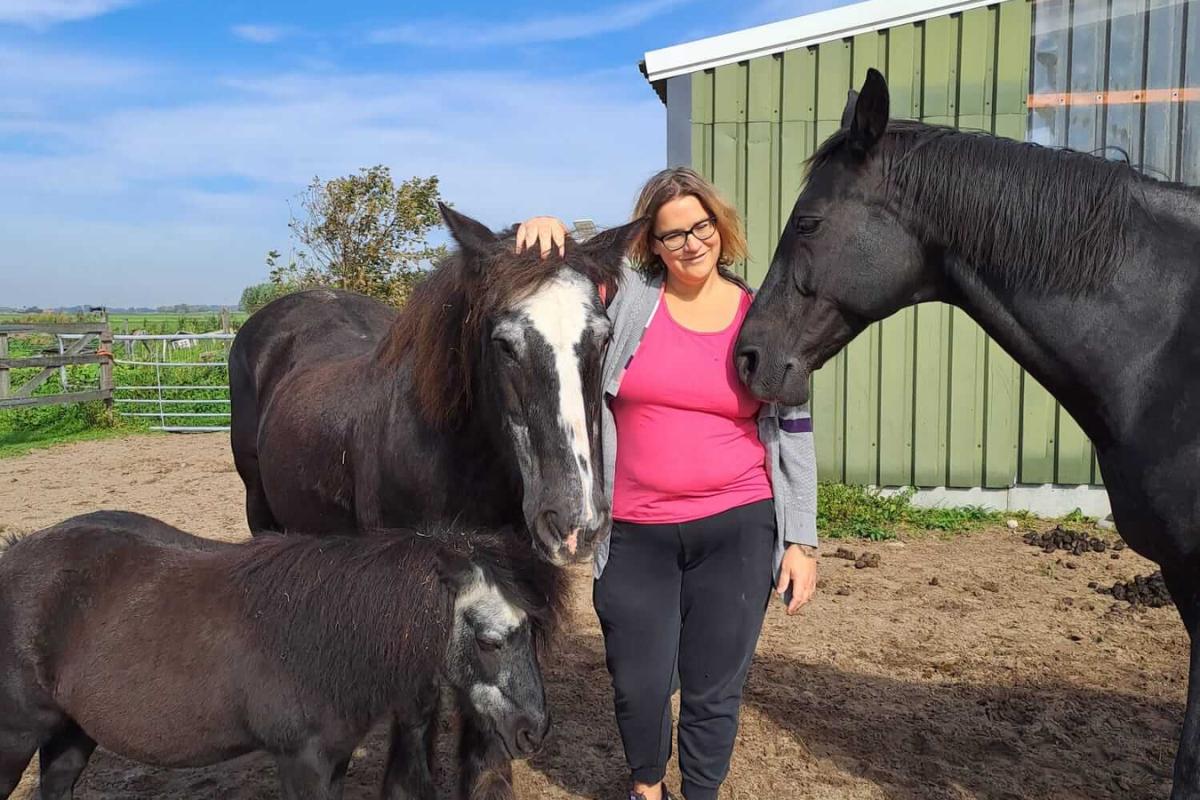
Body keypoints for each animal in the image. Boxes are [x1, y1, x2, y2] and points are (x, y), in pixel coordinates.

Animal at [0, 513, 564, 800]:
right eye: (490, 640)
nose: (533, 731)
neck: (326, 638)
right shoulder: (301, 761)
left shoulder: (332, 761)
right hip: (16, 738)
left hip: (70, 734)